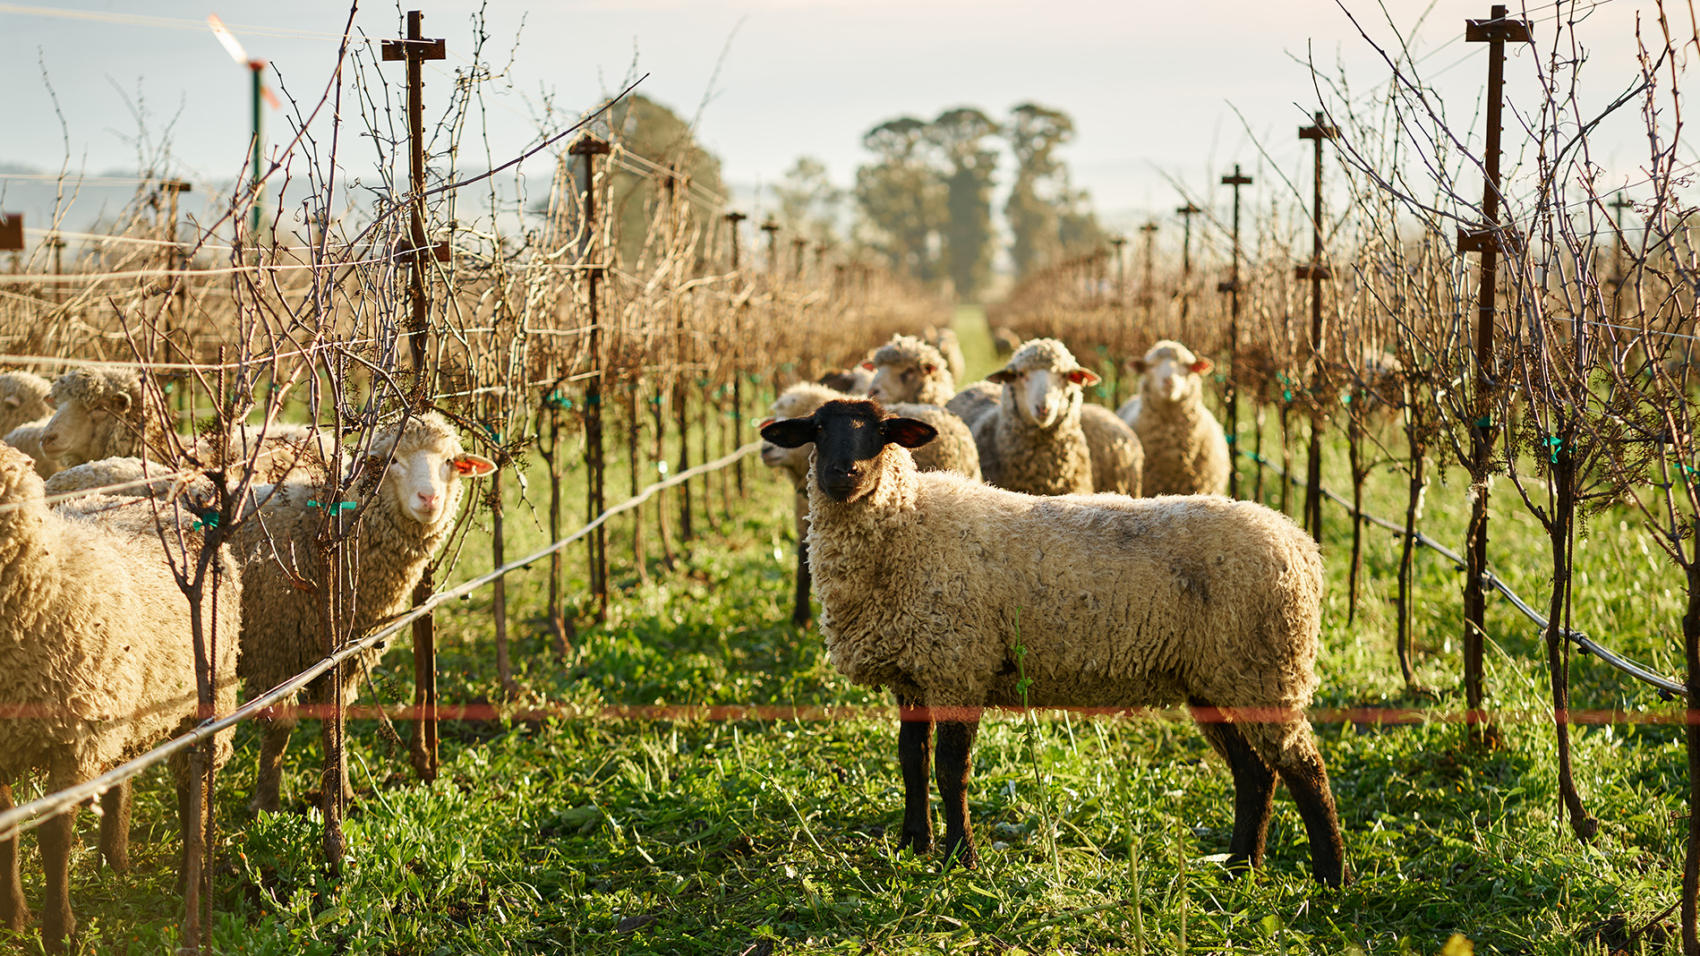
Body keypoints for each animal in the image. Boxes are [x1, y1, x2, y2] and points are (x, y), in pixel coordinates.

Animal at [0, 444, 242, 949]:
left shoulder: (73, 740)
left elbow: (55, 838)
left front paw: (60, 930)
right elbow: (8, 831)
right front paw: (12, 919)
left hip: (208, 692)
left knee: (193, 785)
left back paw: (192, 877)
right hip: (126, 703)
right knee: (124, 776)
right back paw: (116, 860)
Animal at [230, 412, 494, 812]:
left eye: (450, 461)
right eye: (392, 461)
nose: (429, 498)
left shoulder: (341, 655)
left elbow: (335, 721)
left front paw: (343, 796)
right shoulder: (273, 650)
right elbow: (278, 729)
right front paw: (266, 804)